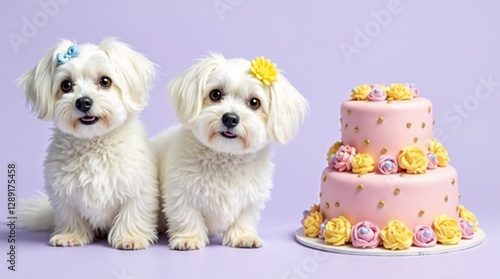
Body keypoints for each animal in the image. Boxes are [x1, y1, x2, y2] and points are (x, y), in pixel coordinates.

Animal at [18, 38, 158, 250]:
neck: (93, 143)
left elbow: (132, 213)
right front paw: (71, 235)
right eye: (66, 85)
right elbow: (70, 216)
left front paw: (129, 237)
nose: (83, 102)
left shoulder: (138, 187)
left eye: (105, 81)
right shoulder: (62, 193)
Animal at [151, 53, 308, 250]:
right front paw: (189, 238)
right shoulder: (181, 194)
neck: (225, 157)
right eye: (215, 94)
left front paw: (243, 236)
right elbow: (187, 217)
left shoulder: (250, 200)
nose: (230, 118)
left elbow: (243, 218)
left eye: (254, 102)